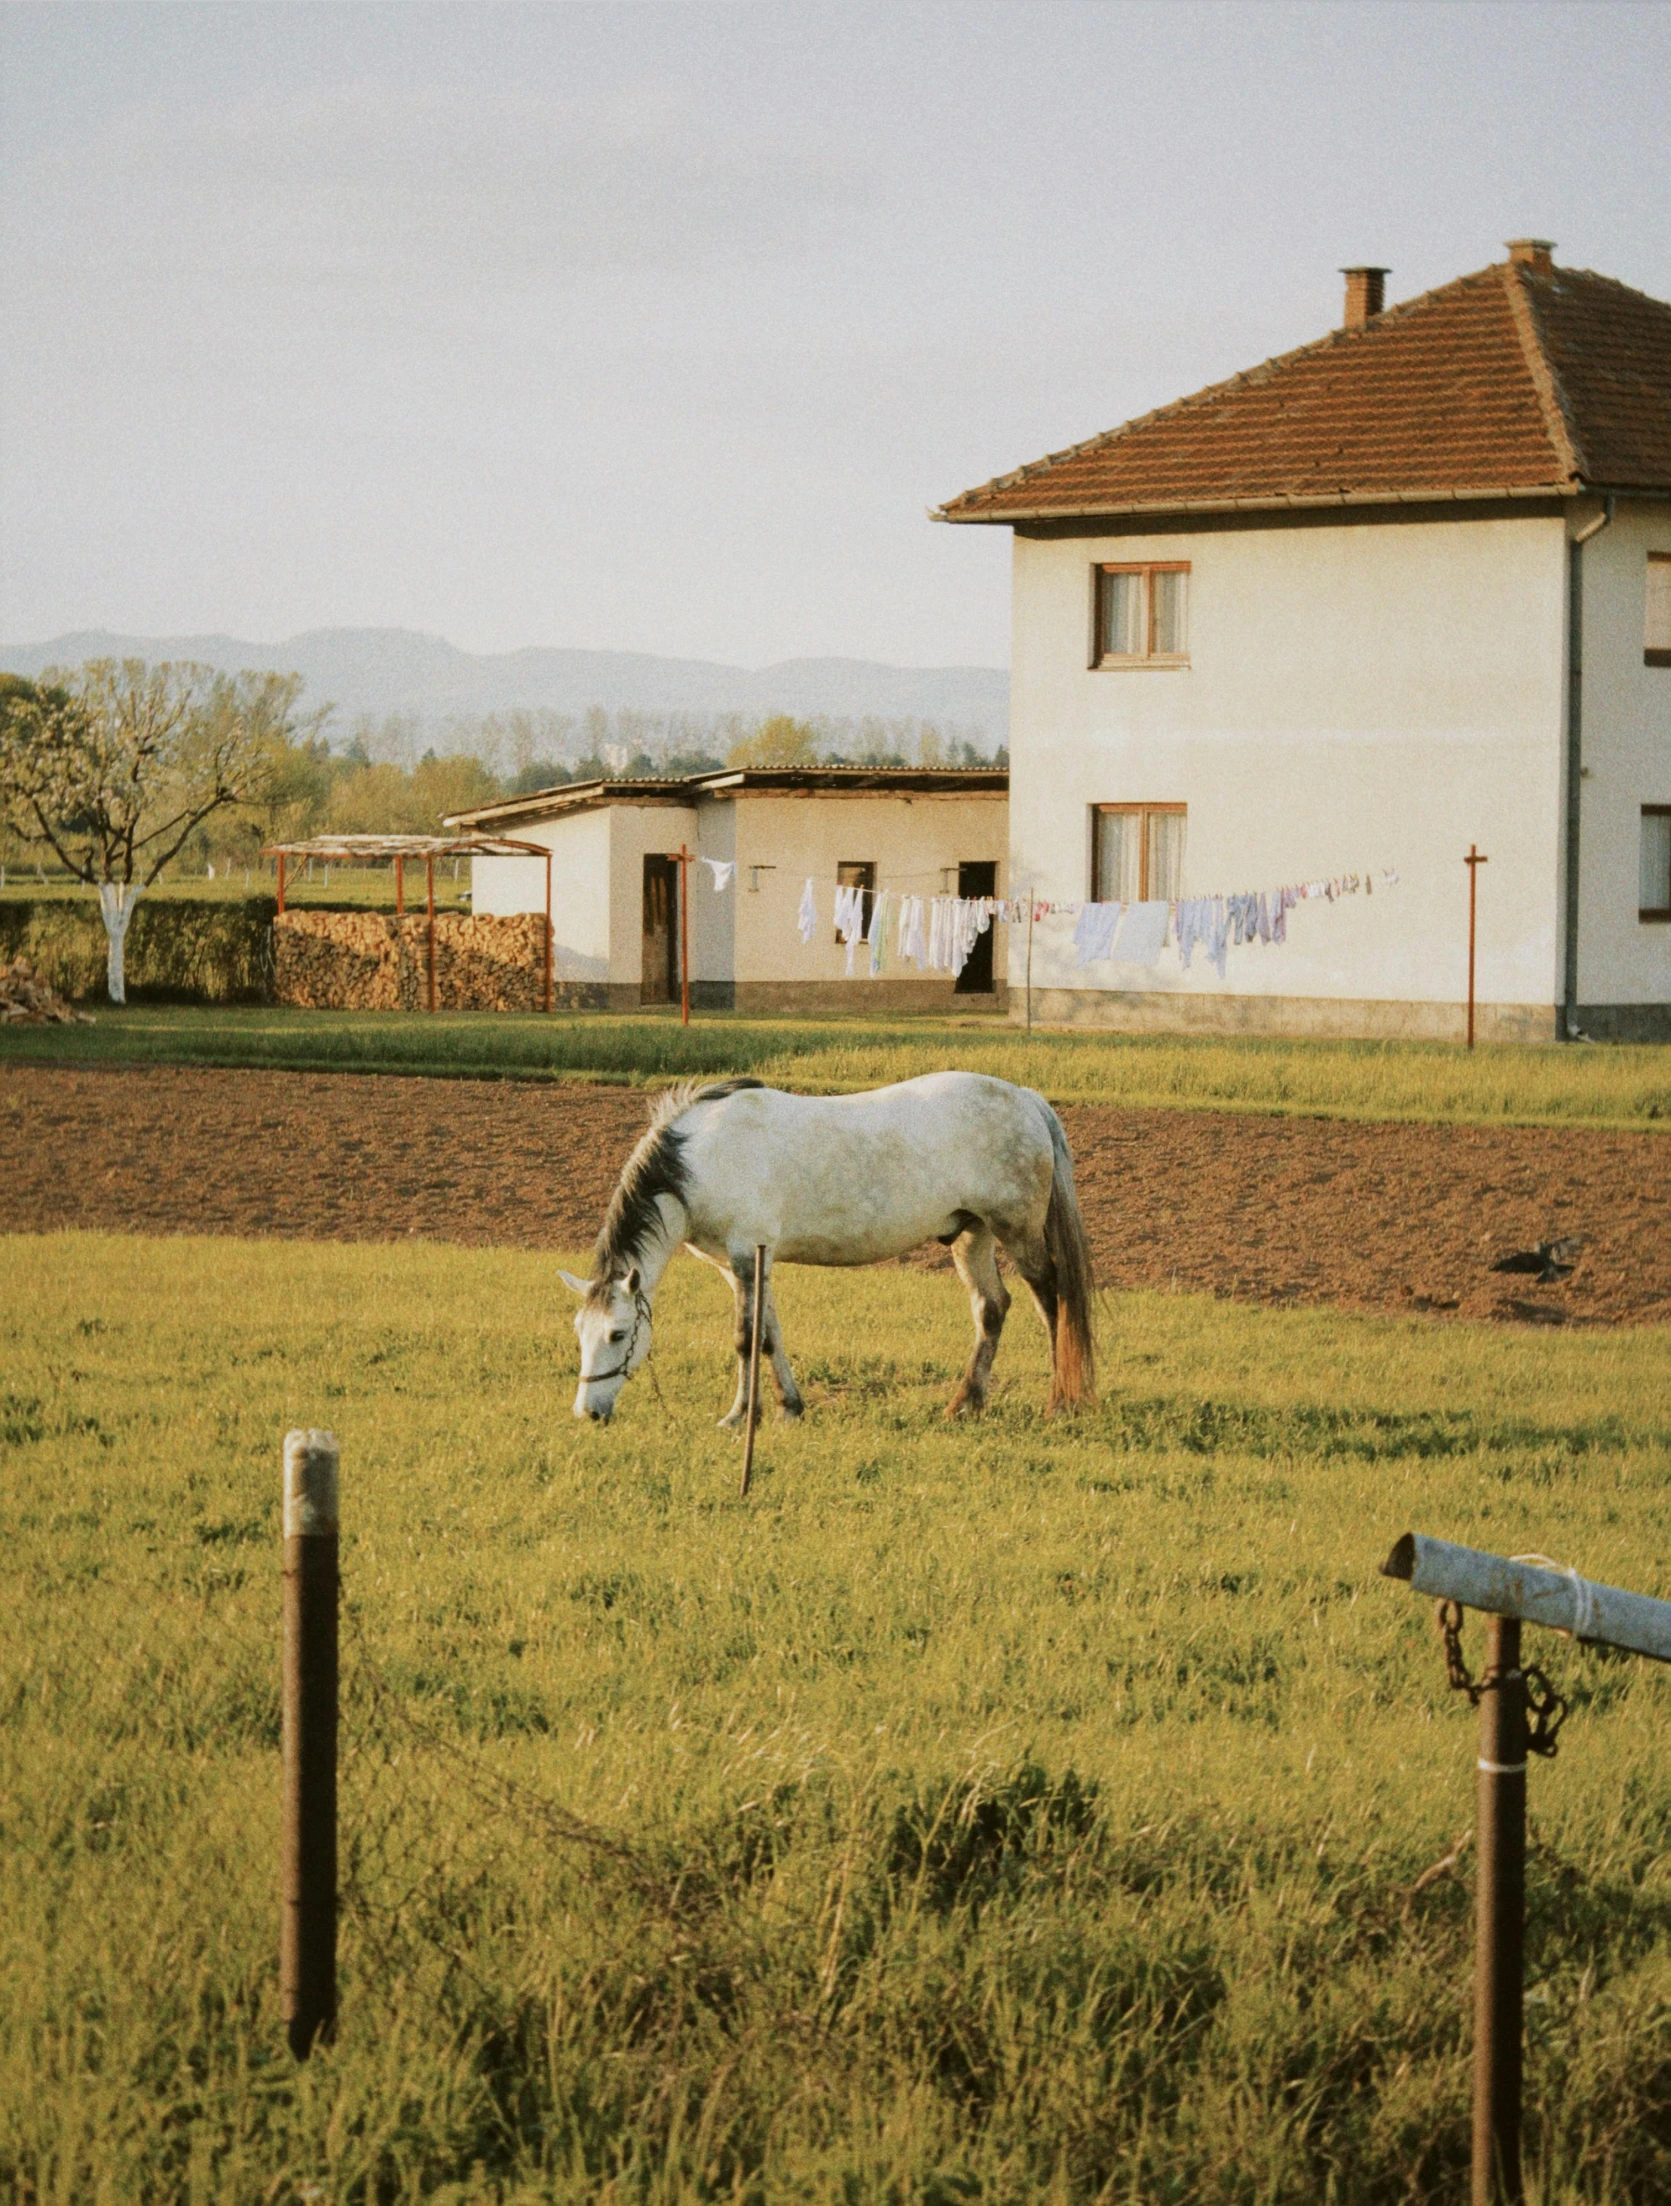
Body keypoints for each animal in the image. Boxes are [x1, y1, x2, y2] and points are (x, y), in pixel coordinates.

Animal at [554, 1072, 1090, 1420]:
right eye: (580, 1331)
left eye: (618, 1334)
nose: (587, 1412)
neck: (703, 1157)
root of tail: (1024, 1098)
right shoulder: (745, 1264)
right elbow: (769, 1334)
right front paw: (790, 1407)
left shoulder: (745, 1256)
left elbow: (744, 1338)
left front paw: (740, 1415)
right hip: (970, 1235)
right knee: (992, 1308)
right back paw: (965, 1403)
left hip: (1018, 1232)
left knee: (1053, 1301)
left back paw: (1062, 1402)